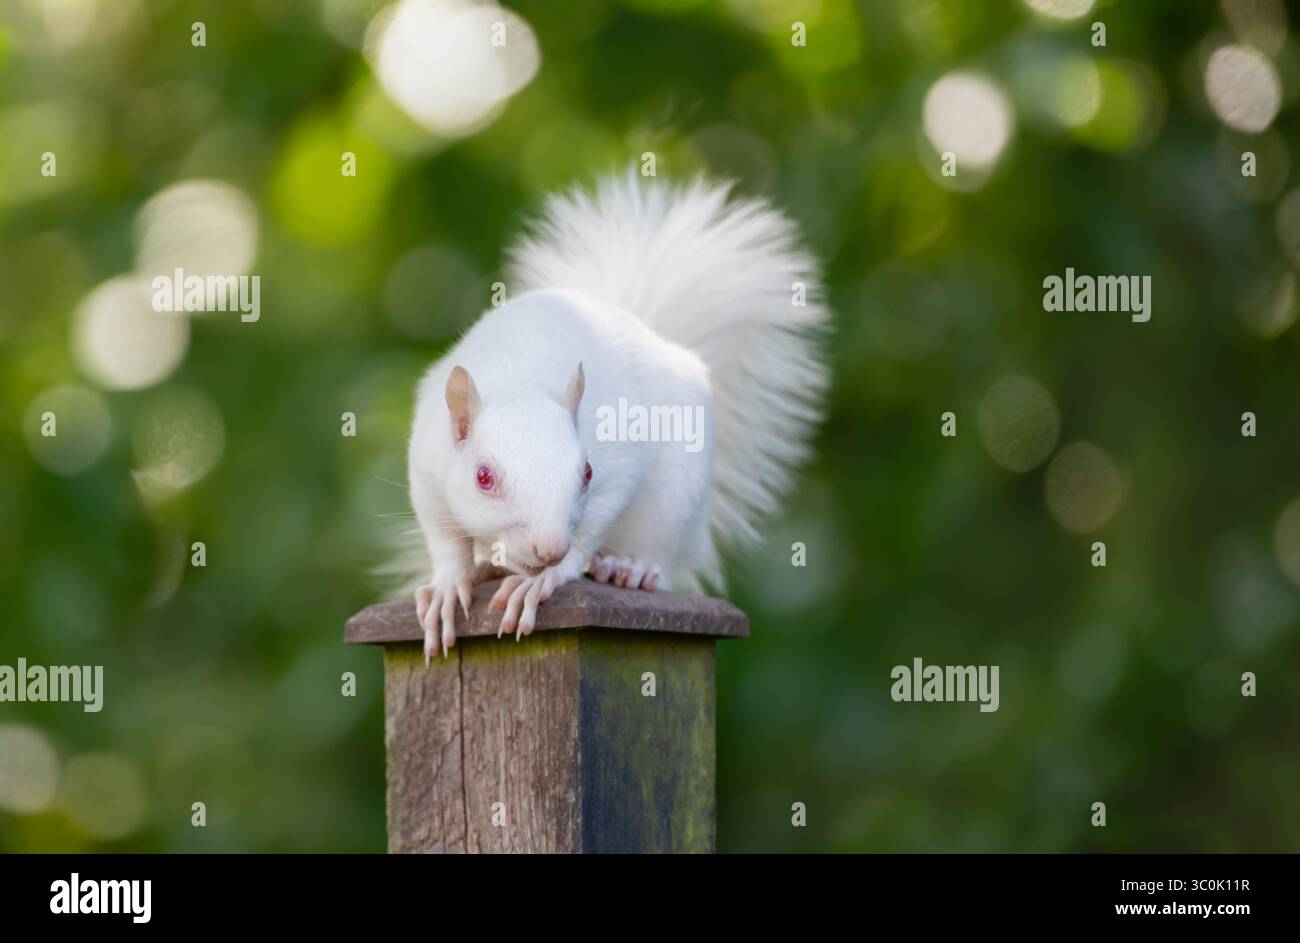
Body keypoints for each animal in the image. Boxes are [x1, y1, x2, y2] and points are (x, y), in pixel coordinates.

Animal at [405, 173, 829, 662]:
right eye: (483, 477)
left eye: (587, 472)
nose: (549, 549)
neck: (521, 381)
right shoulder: (427, 471)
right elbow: (444, 541)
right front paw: (447, 588)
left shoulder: (617, 469)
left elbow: (589, 531)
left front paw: (543, 580)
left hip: (675, 502)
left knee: (659, 548)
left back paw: (632, 569)